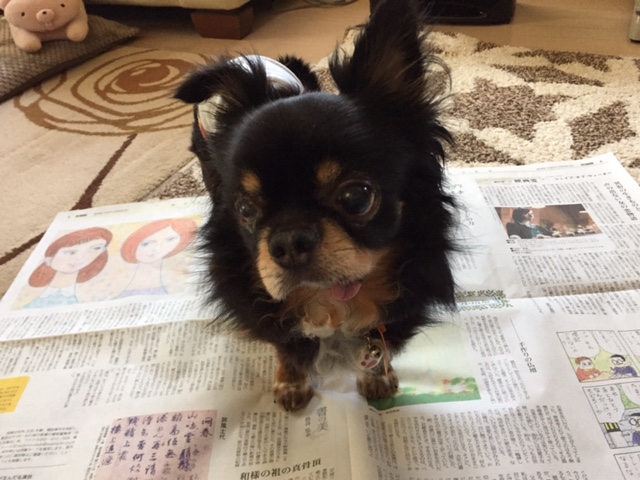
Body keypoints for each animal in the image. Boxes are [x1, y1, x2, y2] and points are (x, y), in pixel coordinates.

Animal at [174, 0, 456, 411]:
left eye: (357, 197)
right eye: (245, 210)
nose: (288, 242)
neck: (330, 303)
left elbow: (378, 347)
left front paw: (377, 375)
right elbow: (287, 347)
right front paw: (291, 383)